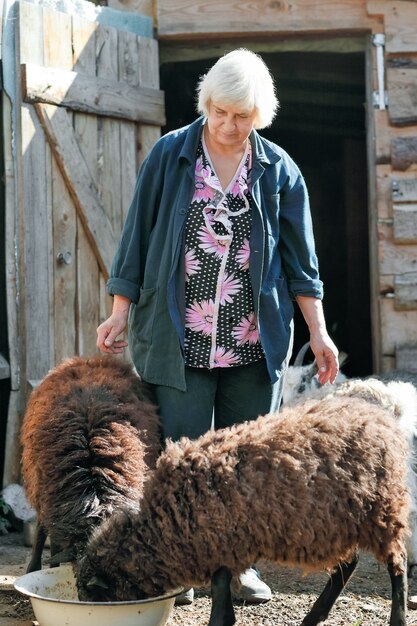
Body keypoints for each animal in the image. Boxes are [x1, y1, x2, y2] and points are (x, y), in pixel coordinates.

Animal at [77, 394, 410, 624]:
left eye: (95, 597)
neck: (162, 526)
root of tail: (381, 418)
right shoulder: (222, 547)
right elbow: (221, 591)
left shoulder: (222, 543)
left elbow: (219, 594)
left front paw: (220, 621)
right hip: (337, 522)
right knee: (348, 564)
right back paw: (314, 616)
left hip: (381, 510)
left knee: (397, 564)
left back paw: (397, 617)